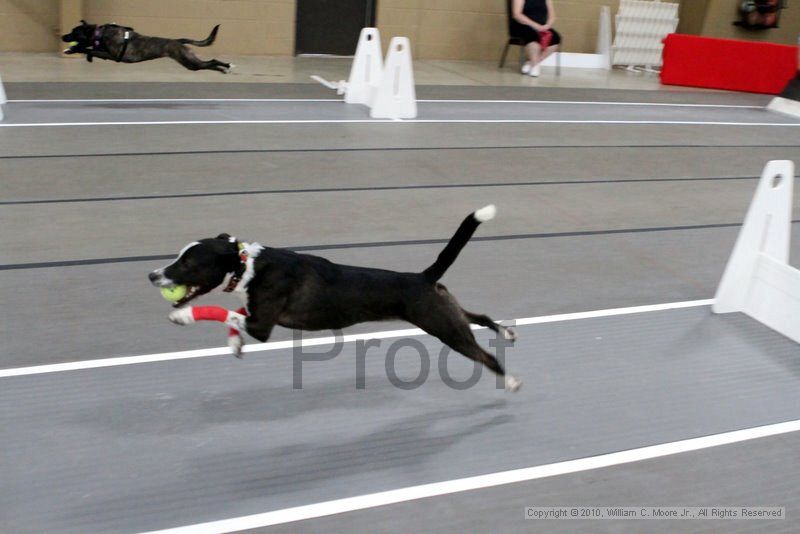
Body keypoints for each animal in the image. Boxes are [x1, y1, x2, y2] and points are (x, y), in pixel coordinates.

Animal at [61, 20, 231, 73]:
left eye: (74, 32)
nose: (63, 36)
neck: (100, 33)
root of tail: (178, 41)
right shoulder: (104, 51)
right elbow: (91, 49)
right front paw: (74, 50)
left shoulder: (113, 55)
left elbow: (89, 49)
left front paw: (77, 50)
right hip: (190, 61)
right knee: (208, 64)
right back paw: (222, 69)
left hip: (189, 62)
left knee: (211, 62)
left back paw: (226, 66)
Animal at [148, 206, 524, 394]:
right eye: (179, 257)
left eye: (187, 263)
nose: (153, 275)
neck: (247, 265)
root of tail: (424, 277)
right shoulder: (256, 312)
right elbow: (236, 313)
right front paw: (233, 344)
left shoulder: (262, 325)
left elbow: (225, 312)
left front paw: (183, 316)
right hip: (448, 312)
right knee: (481, 316)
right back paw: (507, 332)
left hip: (444, 328)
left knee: (486, 355)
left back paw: (510, 380)